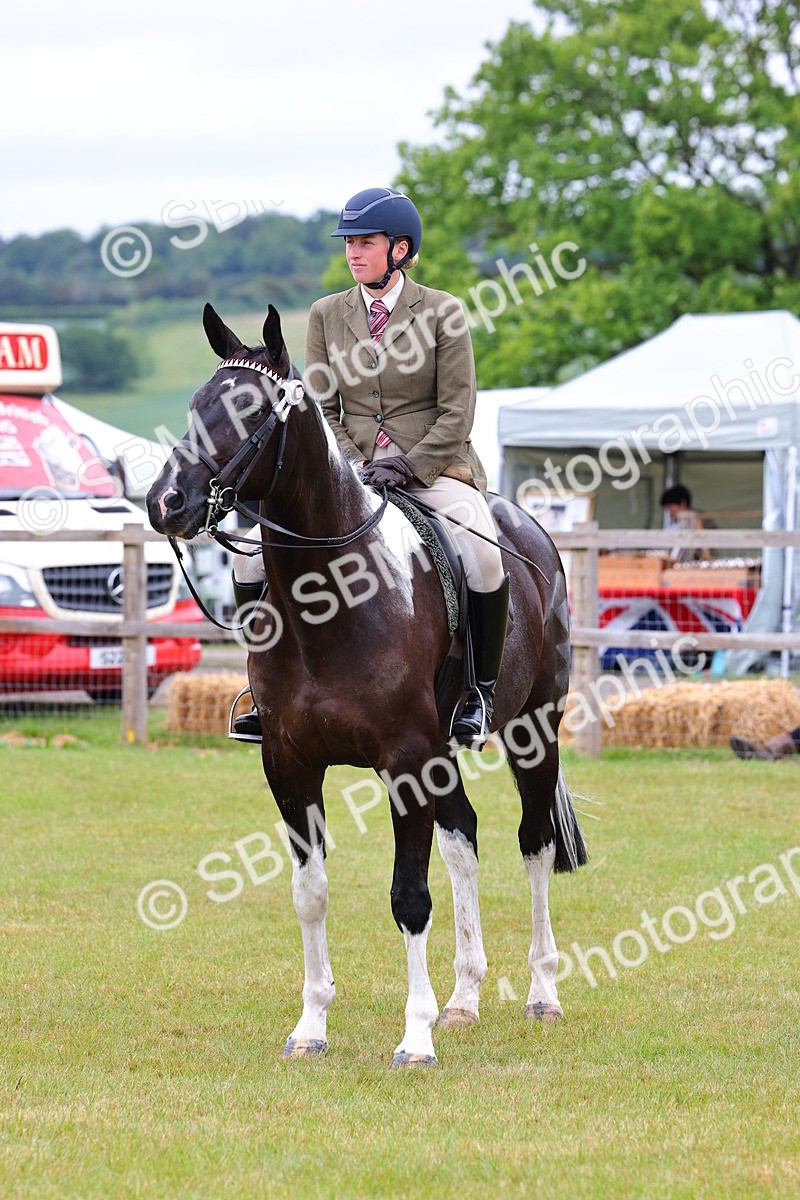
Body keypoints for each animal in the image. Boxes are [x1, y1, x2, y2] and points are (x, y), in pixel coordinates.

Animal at [146, 302, 587, 1067]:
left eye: (250, 409)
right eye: (196, 404)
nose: (166, 501)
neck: (333, 600)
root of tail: (531, 531)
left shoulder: (405, 761)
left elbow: (409, 897)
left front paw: (414, 1038)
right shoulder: (289, 763)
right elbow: (311, 893)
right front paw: (311, 1027)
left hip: (534, 731)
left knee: (533, 843)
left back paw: (541, 994)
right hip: (446, 754)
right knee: (464, 839)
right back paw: (465, 999)